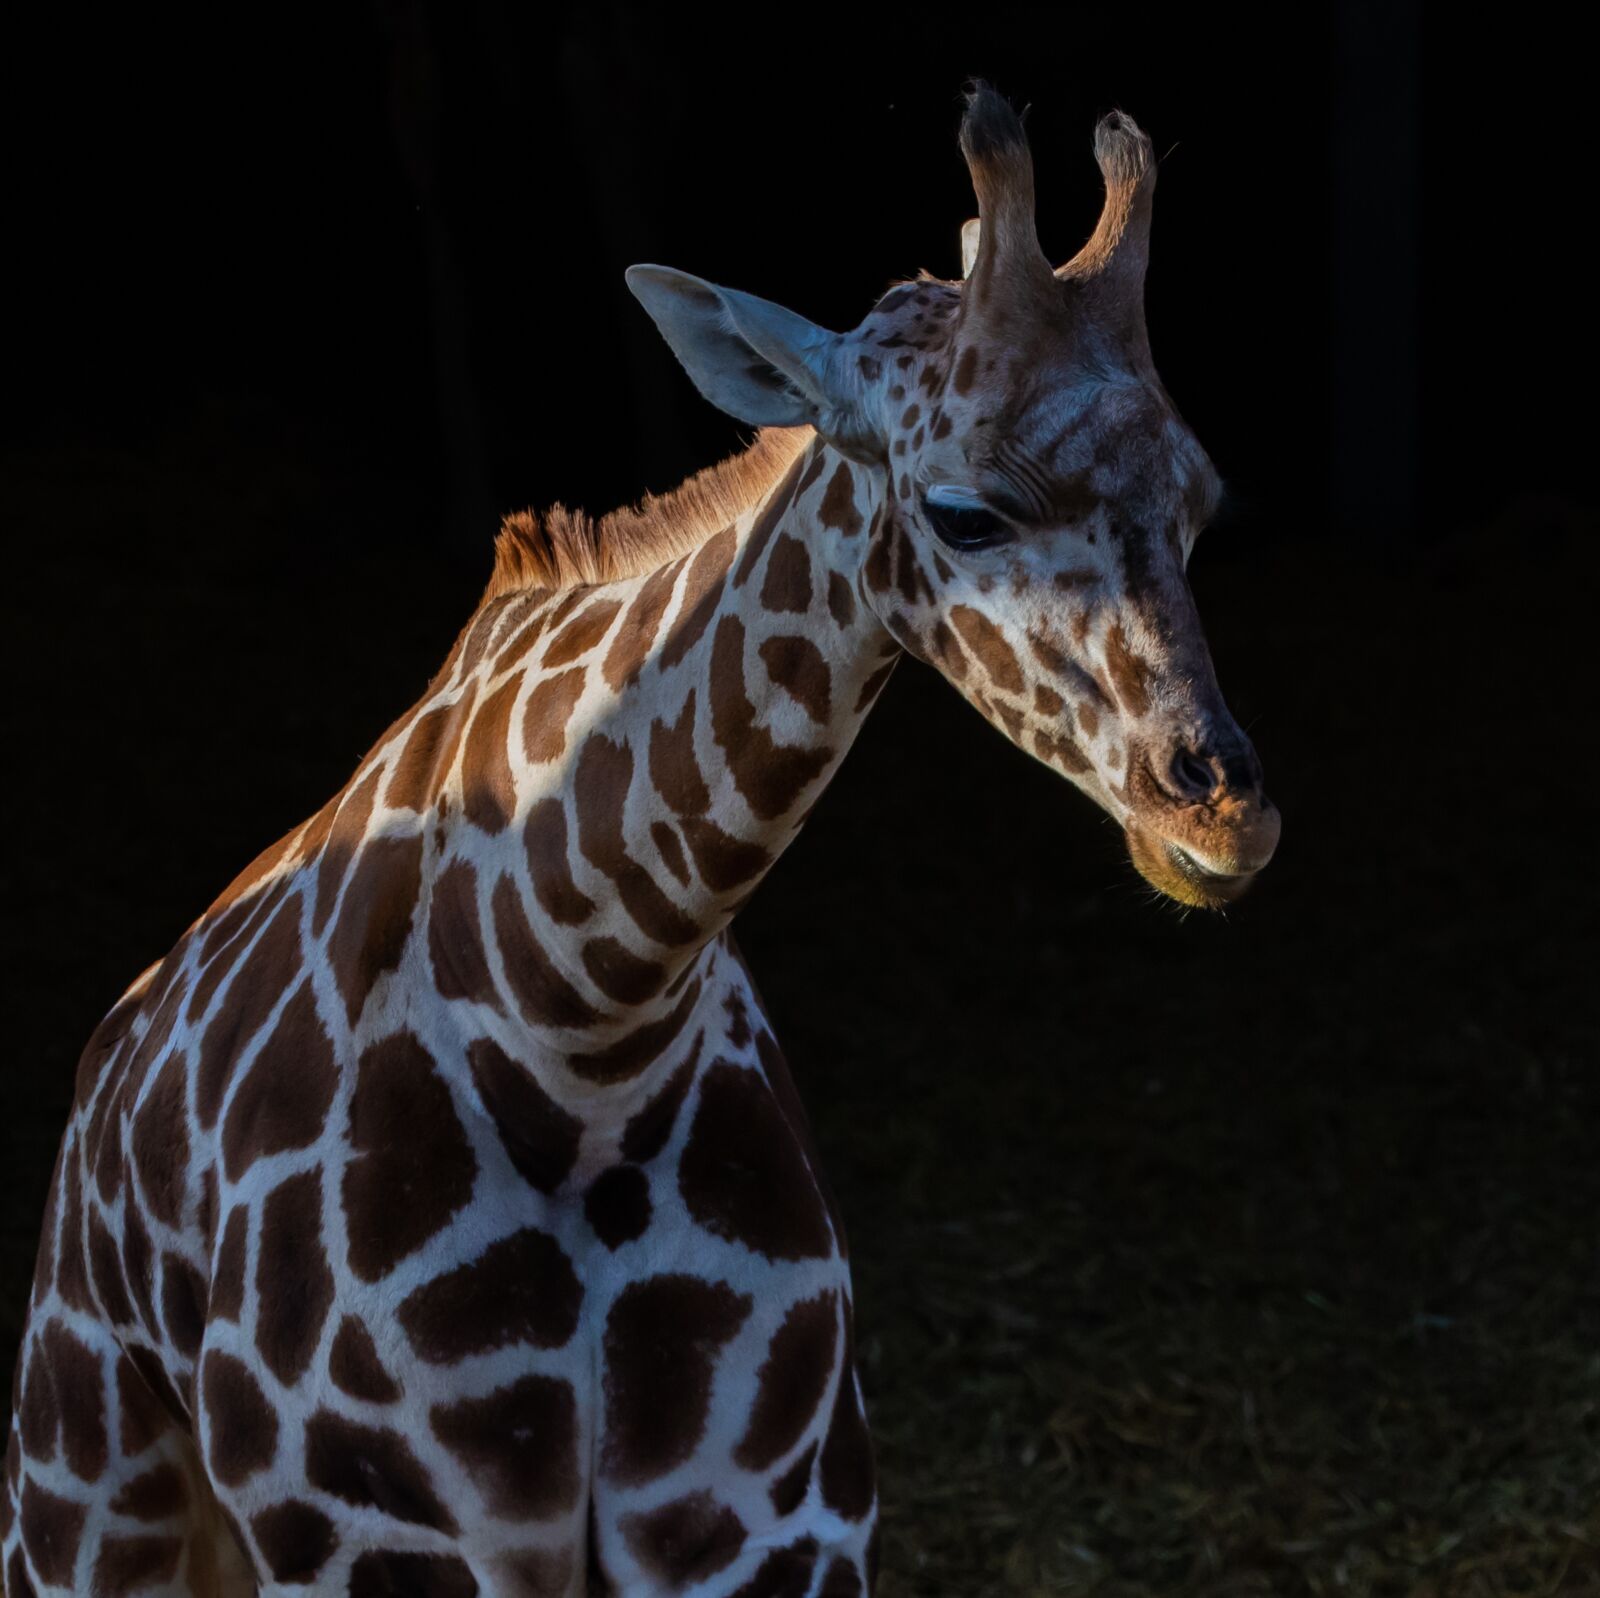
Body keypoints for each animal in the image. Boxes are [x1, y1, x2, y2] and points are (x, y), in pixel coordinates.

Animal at [2, 85, 1278, 1597]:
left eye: (1200, 501)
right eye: (967, 510)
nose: (1221, 811)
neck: (577, 1023)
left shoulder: (775, 1530)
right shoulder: (387, 1538)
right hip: (81, 1494)